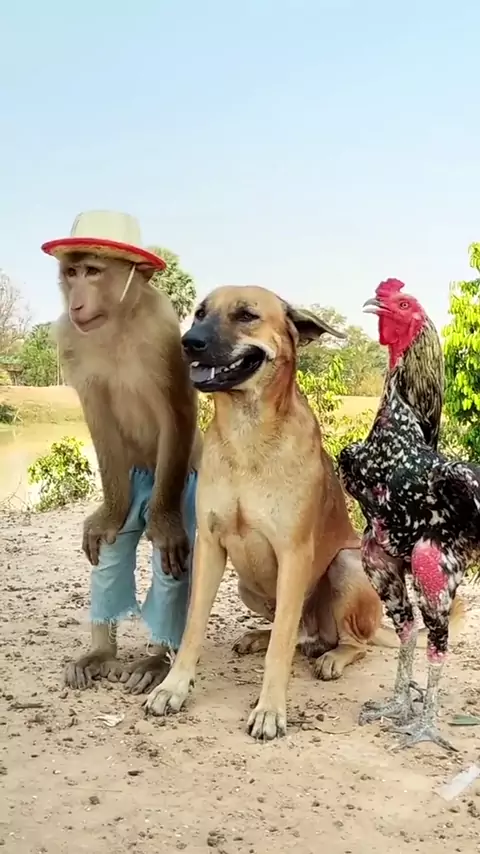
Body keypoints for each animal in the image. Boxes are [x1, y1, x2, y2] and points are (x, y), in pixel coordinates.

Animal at [144, 285, 385, 739]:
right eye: (200, 313)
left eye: (246, 315)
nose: (189, 343)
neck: (247, 434)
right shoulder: (210, 545)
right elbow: (193, 627)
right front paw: (174, 687)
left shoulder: (294, 553)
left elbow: (280, 651)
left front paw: (270, 709)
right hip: (249, 587)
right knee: (298, 633)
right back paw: (262, 637)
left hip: (346, 565)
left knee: (350, 642)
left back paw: (332, 657)